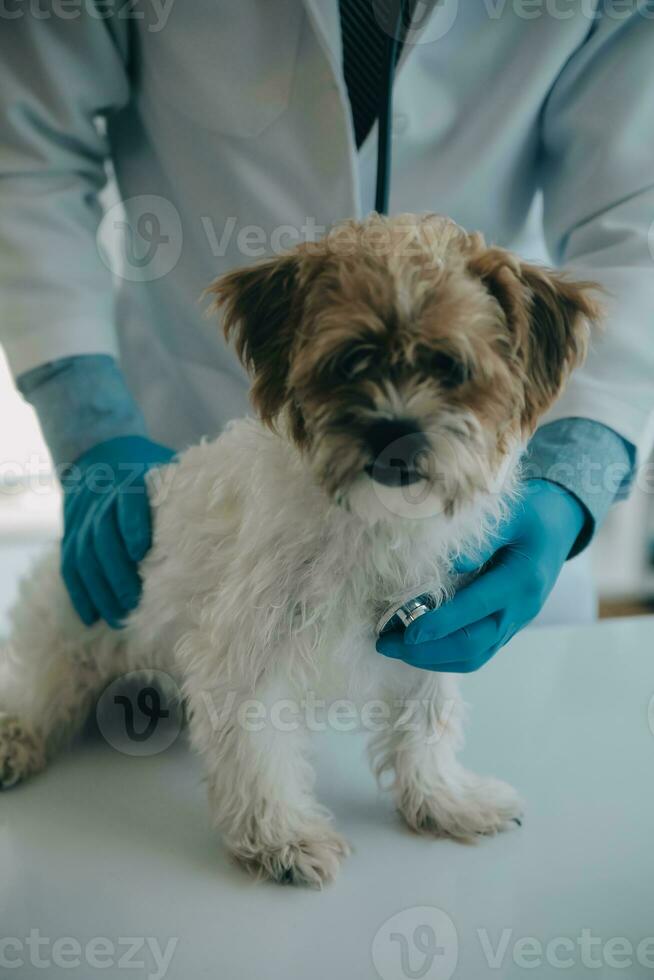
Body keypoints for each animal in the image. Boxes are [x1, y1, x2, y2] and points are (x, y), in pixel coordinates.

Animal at [0, 214, 600, 888]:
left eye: (450, 367)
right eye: (350, 361)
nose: (395, 431)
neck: (372, 520)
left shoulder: (433, 630)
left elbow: (426, 723)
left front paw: (444, 800)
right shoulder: (246, 654)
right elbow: (259, 749)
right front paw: (282, 839)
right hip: (68, 628)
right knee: (35, 687)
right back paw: (14, 738)